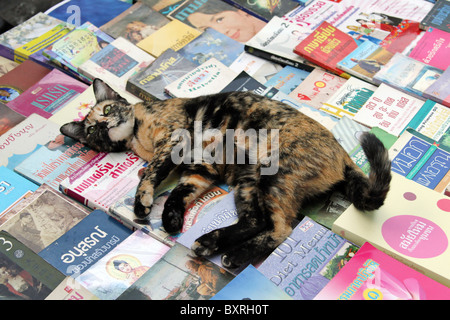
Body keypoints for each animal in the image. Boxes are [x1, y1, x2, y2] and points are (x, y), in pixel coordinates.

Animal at [59, 79, 390, 268]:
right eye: (91, 129)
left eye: (107, 109)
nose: (103, 125)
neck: (139, 137)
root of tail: (343, 154)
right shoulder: (200, 169)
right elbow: (178, 193)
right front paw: (171, 219)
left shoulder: (173, 140)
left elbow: (151, 173)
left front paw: (142, 202)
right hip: (248, 183)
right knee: (256, 221)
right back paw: (212, 243)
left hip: (273, 176)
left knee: (281, 229)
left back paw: (229, 252)